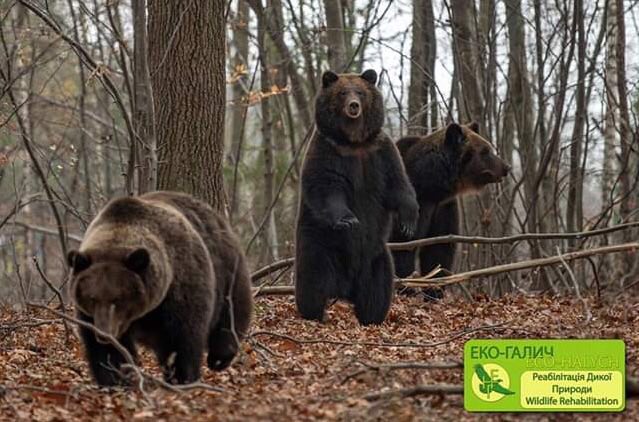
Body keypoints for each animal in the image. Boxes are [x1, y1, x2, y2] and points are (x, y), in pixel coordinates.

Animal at [67, 191, 252, 386]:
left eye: (118, 298)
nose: (104, 333)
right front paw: (115, 379)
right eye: (92, 298)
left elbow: (182, 341)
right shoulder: (91, 316)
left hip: (227, 269)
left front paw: (181, 378)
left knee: (232, 311)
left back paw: (219, 358)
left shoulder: (180, 290)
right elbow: (107, 352)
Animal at [296, 69, 420, 326]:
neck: (353, 142)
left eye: (360, 93)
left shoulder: (381, 151)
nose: (353, 106)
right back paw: (314, 313)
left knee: (379, 288)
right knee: (312, 280)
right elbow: (327, 187)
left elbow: (399, 184)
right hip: (319, 245)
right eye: (343, 92)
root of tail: (344, 290)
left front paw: (408, 221)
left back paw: (372, 317)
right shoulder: (326, 151)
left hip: (376, 257)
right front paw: (348, 220)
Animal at [390, 120, 510, 296]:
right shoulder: (412, 206)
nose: (506, 167)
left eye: (489, 148)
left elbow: (439, 251)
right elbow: (402, 247)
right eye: (485, 151)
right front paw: (407, 288)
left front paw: (434, 290)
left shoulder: (443, 208)